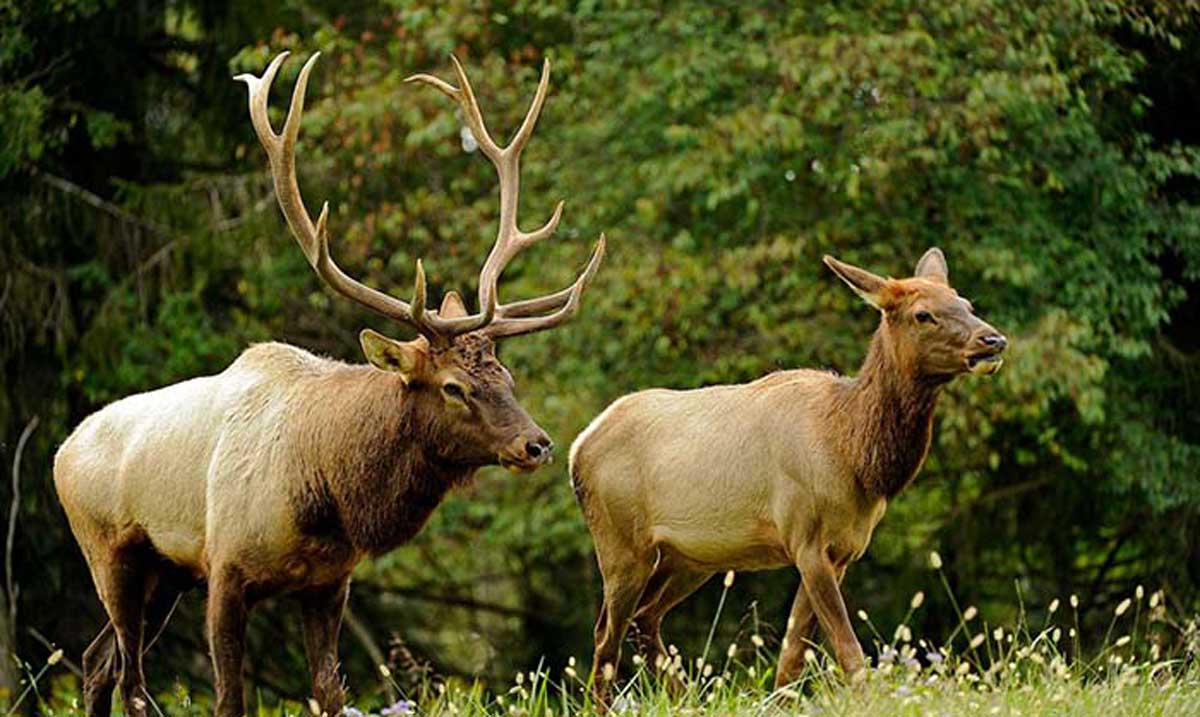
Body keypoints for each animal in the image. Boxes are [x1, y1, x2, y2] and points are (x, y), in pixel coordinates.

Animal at [52, 50, 605, 717]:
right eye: (453, 386)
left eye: (507, 375)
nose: (538, 443)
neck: (325, 490)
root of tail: (62, 451)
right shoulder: (225, 568)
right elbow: (230, 698)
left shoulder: (329, 581)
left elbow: (329, 692)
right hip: (110, 553)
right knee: (130, 679)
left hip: (165, 574)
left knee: (96, 662)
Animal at [569, 249, 1007, 706]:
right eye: (923, 314)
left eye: (966, 303)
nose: (993, 340)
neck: (854, 456)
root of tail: (578, 447)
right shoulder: (805, 536)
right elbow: (847, 652)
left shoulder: (841, 550)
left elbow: (793, 654)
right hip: (620, 542)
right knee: (606, 637)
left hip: (688, 556)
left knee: (643, 617)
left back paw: (688, 698)